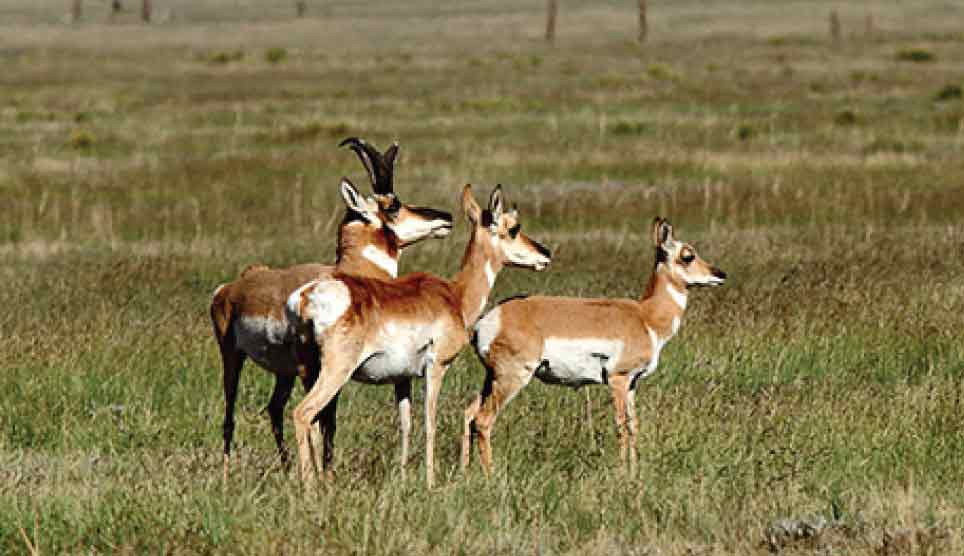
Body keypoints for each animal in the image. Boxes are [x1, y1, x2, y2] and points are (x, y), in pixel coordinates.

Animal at [211, 138, 452, 478]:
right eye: (393, 205)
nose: (445, 217)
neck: (355, 271)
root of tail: (235, 285)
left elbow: (326, 422)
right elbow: (326, 422)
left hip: (285, 373)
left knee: (275, 409)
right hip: (234, 357)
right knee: (231, 417)